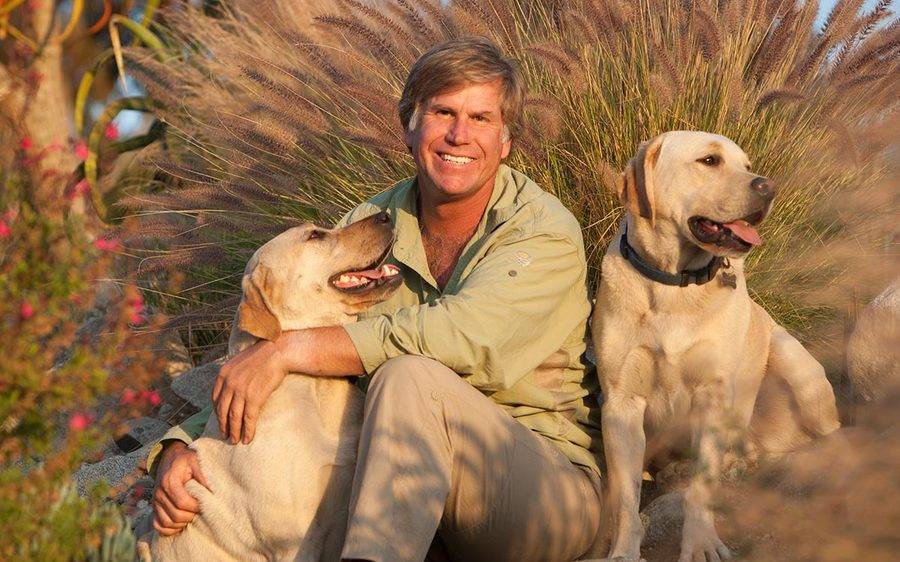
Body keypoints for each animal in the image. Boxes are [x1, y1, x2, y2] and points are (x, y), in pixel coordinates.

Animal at [596, 130, 840, 560]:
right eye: (709, 161)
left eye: (747, 165)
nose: (769, 187)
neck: (673, 285)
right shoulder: (621, 403)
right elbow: (626, 497)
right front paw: (623, 550)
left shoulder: (711, 396)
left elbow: (700, 488)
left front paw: (701, 544)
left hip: (797, 366)